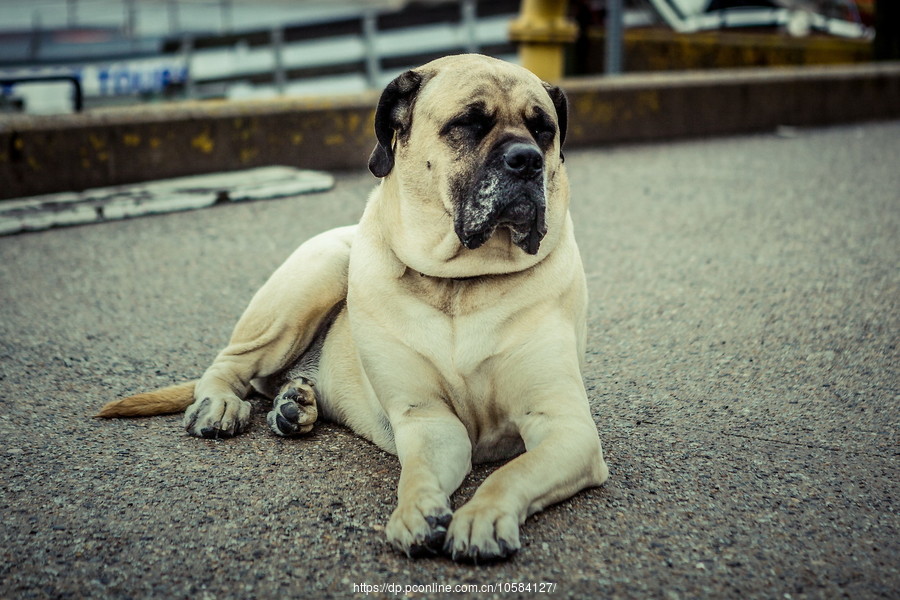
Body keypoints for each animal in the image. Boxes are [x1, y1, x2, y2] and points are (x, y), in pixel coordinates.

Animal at [95, 55, 608, 564]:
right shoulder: (427, 418)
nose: (527, 160)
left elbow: (512, 471)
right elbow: (417, 471)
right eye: (468, 123)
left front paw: (483, 515)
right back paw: (221, 404)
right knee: (229, 364)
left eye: (543, 130)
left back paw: (294, 405)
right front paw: (417, 510)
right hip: (321, 271)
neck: (462, 283)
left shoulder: (565, 427)